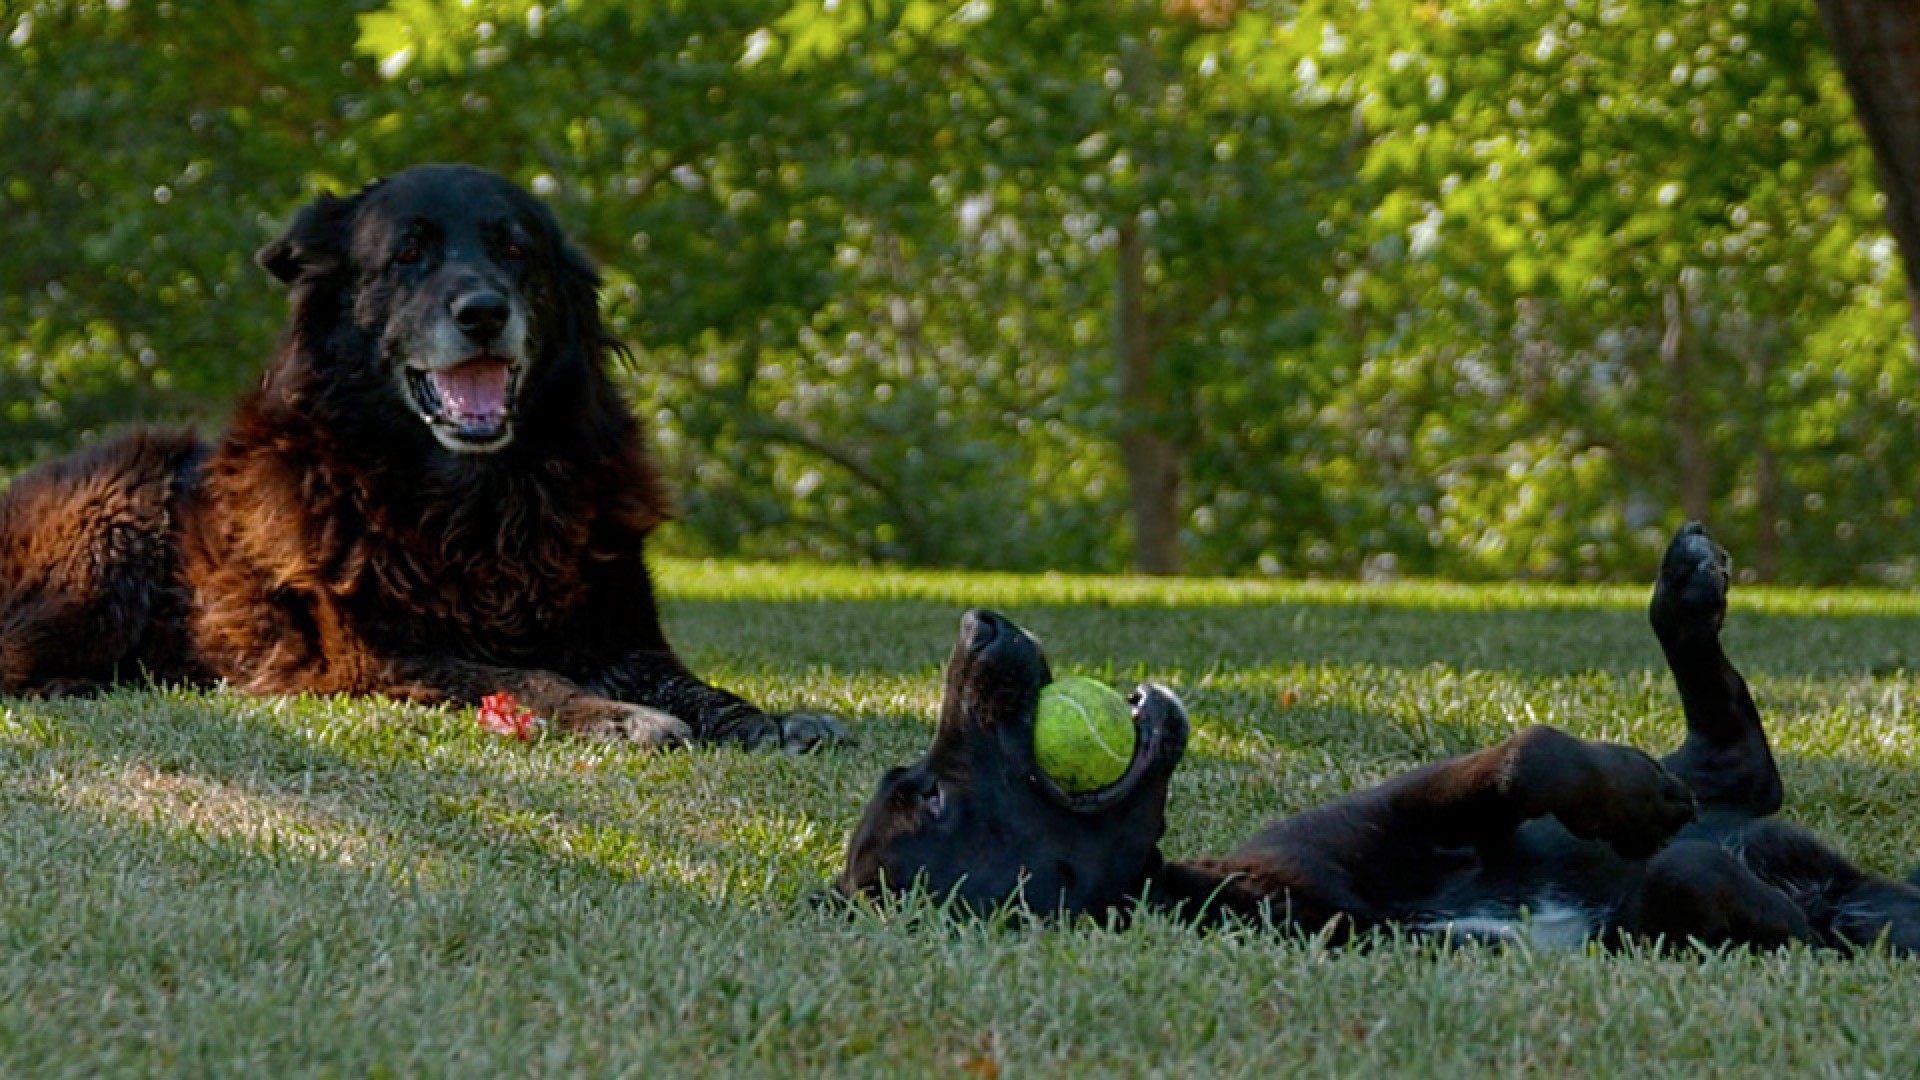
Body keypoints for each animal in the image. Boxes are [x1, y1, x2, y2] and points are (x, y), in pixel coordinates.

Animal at [0, 164, 840, 749]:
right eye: (408, 254)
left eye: (514, 250)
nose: (483, 312)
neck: (482, 503)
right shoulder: (383, 654)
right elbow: (527, 676)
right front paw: (614, 715)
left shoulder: (623, 633)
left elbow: (695, 685)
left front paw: (765, 717)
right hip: (115, 527)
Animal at [840, 522, 1920, 949]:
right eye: (928, 797)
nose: (978, 625)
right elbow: (1677, 882)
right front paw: (1800, 923)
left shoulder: (1398, 810)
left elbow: (1526, 755)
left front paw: (1630, 793)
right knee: (1738, 792)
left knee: (1730, 767)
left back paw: (1685, 600)